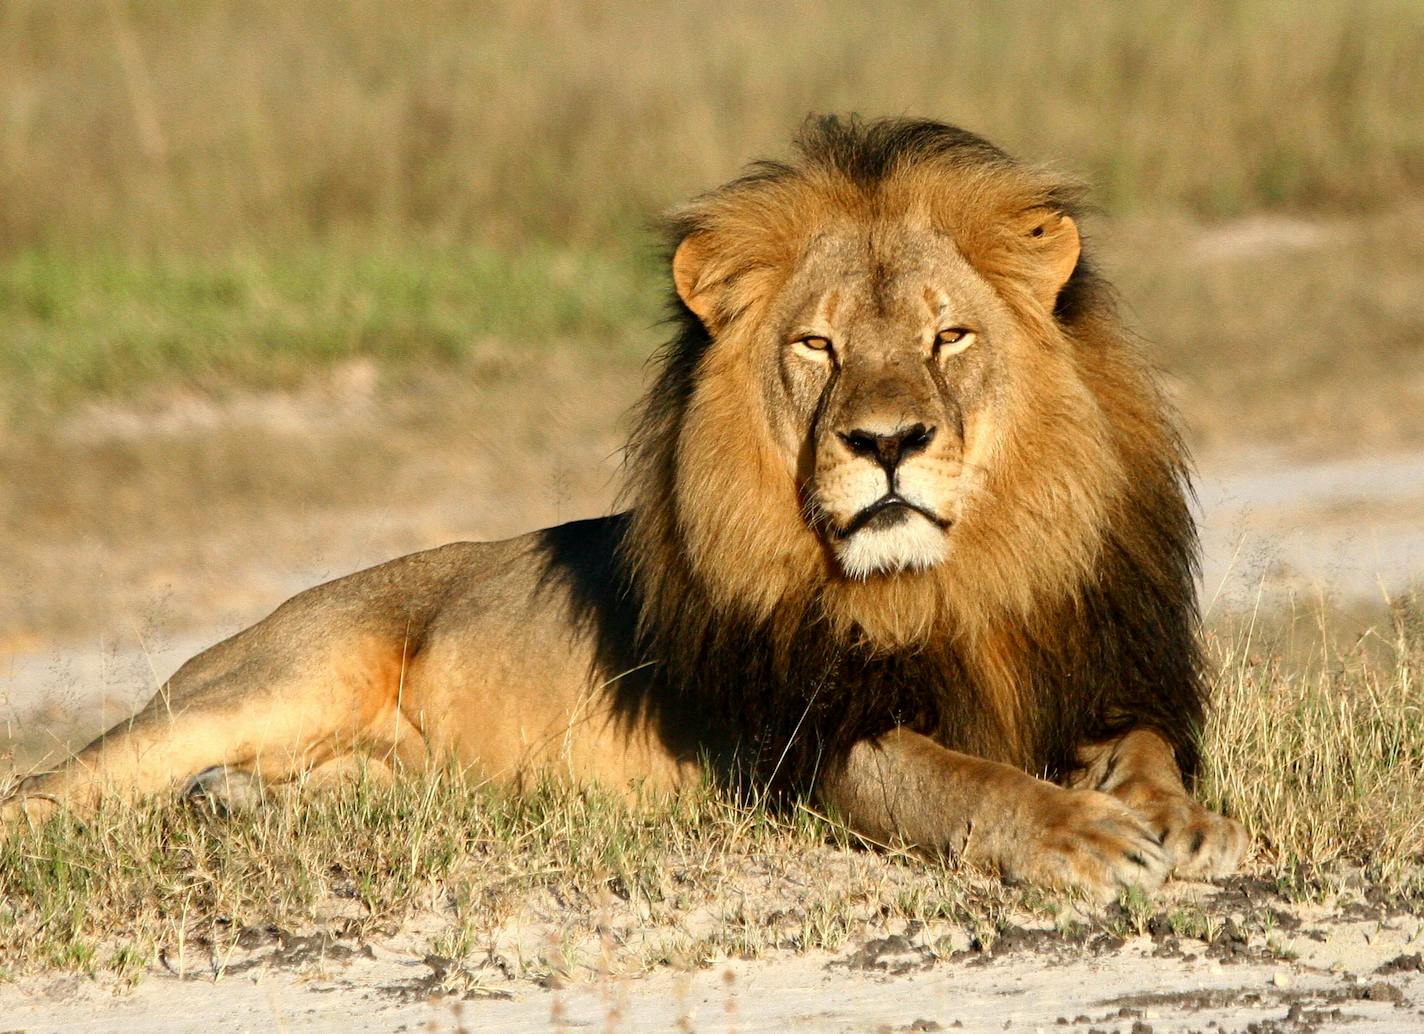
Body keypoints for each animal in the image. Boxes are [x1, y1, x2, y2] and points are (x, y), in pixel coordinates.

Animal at [2, 117, 1247, 905]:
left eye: (949, 336)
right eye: (817, 345)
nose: (885, 442)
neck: (954, 579)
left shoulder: (1097, 667)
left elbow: (1143, 746)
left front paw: (1178, 819)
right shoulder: (805, 738)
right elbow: (957, 778)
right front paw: (1080, 836)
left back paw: (237, 807)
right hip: (275, 676)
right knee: (50, 786)